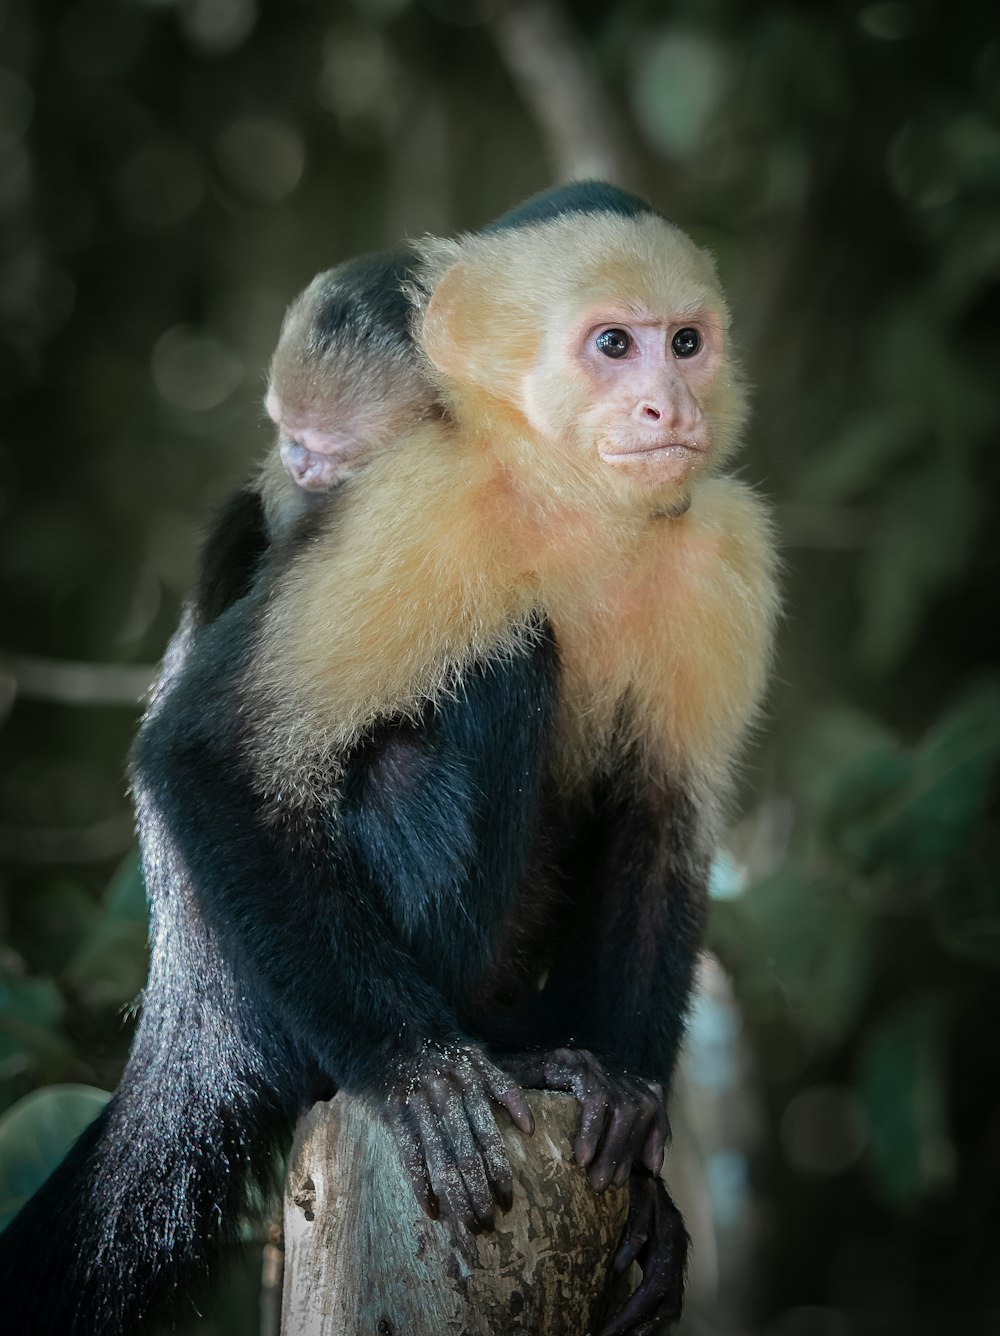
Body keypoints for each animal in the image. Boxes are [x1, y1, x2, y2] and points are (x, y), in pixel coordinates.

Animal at [0, 180, 779, 1336]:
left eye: (685, 343)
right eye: (614, 345)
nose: (668, 408)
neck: (574, 507)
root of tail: (194, 1010)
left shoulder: (723, 546)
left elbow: (661, 827)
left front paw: (640, 1130)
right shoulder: (422, 505)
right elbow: (207, 753)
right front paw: (414, 1073)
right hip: (284, 1018)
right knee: (502, 656)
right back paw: (489, 1051)